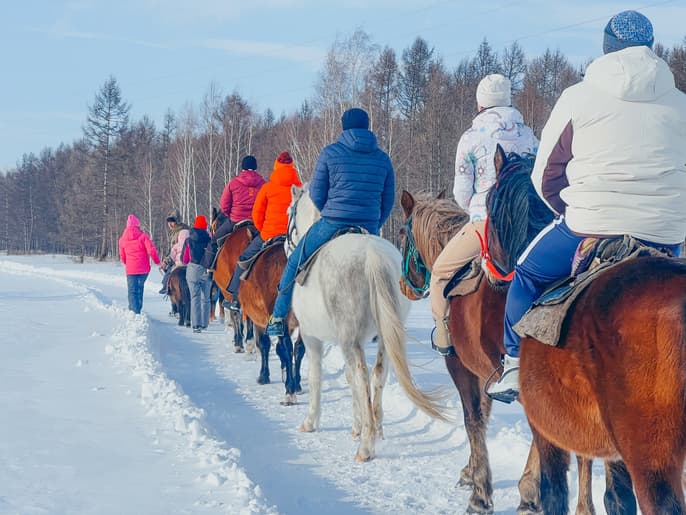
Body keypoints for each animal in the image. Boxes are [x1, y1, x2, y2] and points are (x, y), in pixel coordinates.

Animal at [284, 186, 452, 464]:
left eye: (290, 212)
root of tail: (372, 255)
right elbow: (351, 378)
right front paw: (359, 424)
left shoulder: (312, 337)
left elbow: (317, 376)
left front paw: (312, 421)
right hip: (384, 335)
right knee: (378, 373)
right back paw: (376, 428)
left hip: (349, 338)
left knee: (362, 377)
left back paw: (366, 447)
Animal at [400, 186, 604, 515]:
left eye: (403, 234)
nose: (405, 286)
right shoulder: (486, 373)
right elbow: (485, 417)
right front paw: (481, 476)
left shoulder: (461, 367)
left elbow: (473, 419)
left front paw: (481, 493)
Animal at [484, 146, 686, 515]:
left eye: (489, 202)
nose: (489, 272)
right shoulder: (609, 450)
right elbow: (616, 499)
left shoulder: (546, 431)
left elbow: (554, 493)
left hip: (653, 460)